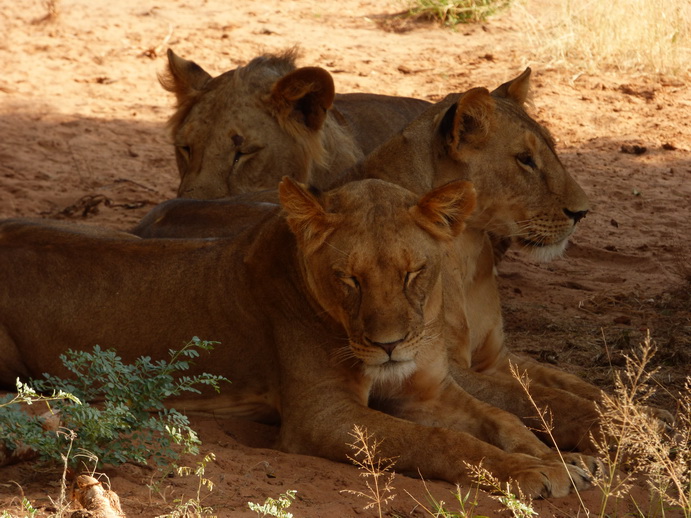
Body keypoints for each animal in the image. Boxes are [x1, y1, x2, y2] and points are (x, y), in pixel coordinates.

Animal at [0, 179, 596, 500]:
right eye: (350, 278)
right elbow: (439, 442)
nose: (388, 346)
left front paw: (556, 463)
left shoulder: (426, 390)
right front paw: (529, 472)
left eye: (413, 273)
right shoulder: (322, 417)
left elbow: (502, 419)